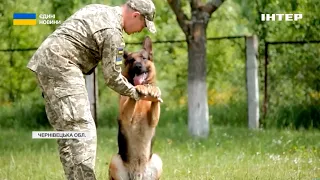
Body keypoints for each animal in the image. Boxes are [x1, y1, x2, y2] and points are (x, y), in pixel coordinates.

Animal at [109, 35, 162, 179]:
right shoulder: (126, 117)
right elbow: (132, 95)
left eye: (143, 58)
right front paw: (139, 88)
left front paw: (154, 90)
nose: (138, 66)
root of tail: (137, 174)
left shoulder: (153, 120)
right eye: (132, 60)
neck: (141, 102)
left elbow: (155, 100)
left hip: (157, 159)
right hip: (114, 160)